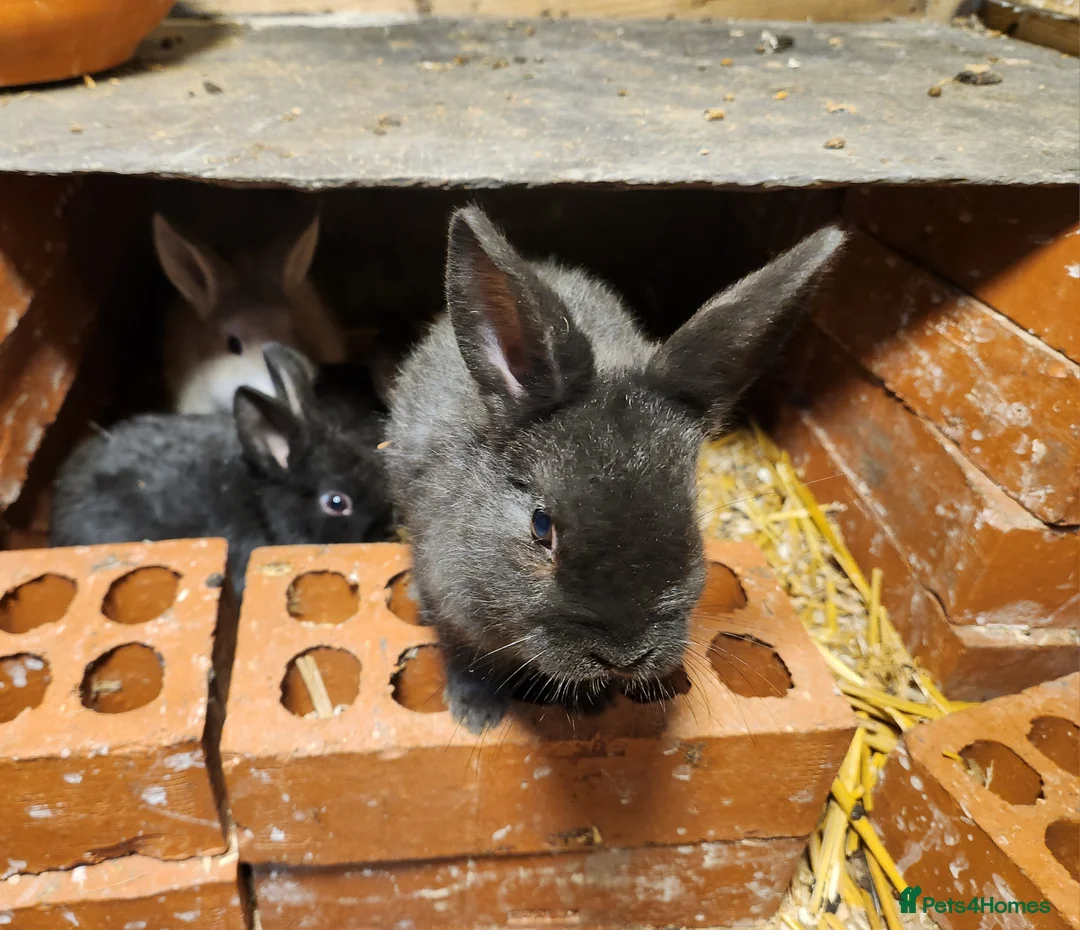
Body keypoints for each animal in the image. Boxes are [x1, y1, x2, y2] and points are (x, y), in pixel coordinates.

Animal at [386, 206, 845, 733]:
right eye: (541, 527)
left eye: (690, 518)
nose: (623, 657)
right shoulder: (452, 605)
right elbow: (467, 660)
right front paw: (476, 715)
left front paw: (594, 704)